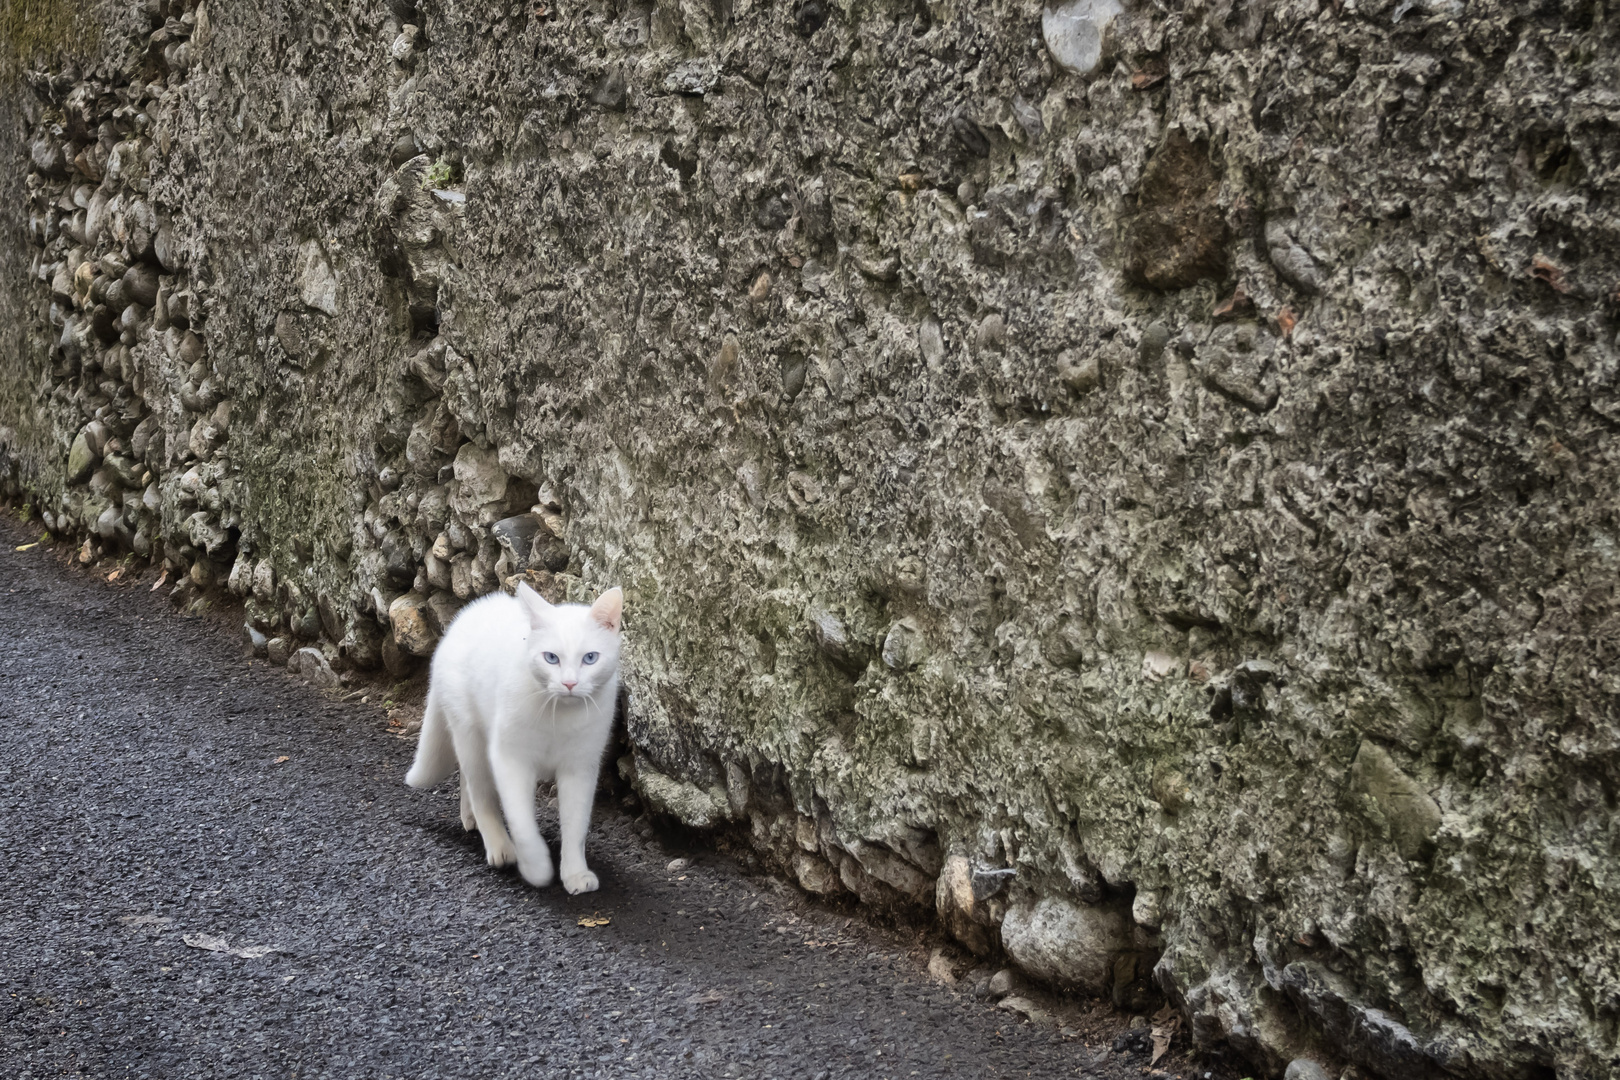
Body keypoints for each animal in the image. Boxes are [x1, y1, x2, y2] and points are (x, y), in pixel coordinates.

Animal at [405, 582, 625, 893]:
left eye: (590, 658)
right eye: (551, 658)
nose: (569, 683)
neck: (559, 717)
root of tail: (464, 616)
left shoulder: (580, 768)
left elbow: (576, 825)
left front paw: (575, 873)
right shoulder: (510, 760)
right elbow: (522, 823)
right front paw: (536, 868)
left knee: (469, 782)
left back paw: (470, 817)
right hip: (470, 735)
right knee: (480, 791)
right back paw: (498, 844)